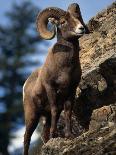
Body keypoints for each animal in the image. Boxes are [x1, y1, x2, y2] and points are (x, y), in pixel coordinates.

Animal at [22, 3, 89, 154]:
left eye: (77, 17)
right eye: (63, 22)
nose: (80, 28)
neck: (65, 68)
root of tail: (25, 85)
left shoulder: (71, 89)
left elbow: (68, 111)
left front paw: (69, 135)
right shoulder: (51, 88)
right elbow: (54, 109)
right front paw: (55, 134)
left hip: (43, 116)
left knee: (43, 133)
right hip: (32, 116)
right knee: (26, 137)